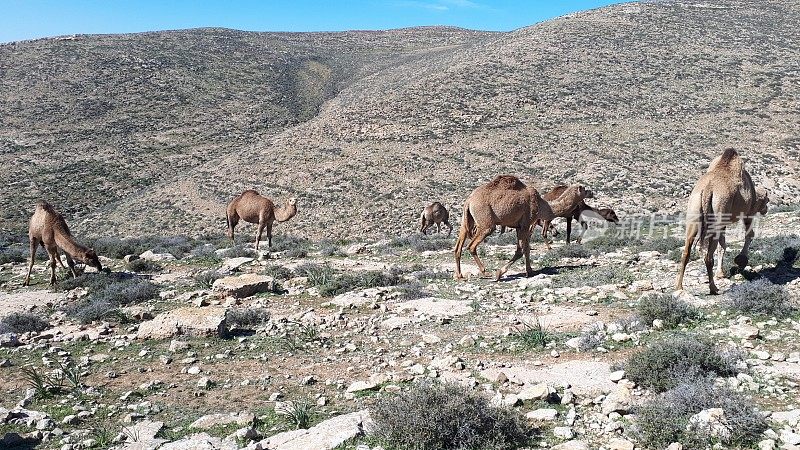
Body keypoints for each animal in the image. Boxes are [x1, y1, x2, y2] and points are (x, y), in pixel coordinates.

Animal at [676, 149, 768, 296]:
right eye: (767, 201)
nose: (765, 209)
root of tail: (708, 189)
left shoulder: (723, 223)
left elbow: (722, 245)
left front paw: (721, 273)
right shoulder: (748, 213)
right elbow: (749, 234)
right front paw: (741, 260)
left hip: (694, 214)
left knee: (686, 252)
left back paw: (679, 287)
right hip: (719, 210)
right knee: (708, 257)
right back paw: (713, 288)